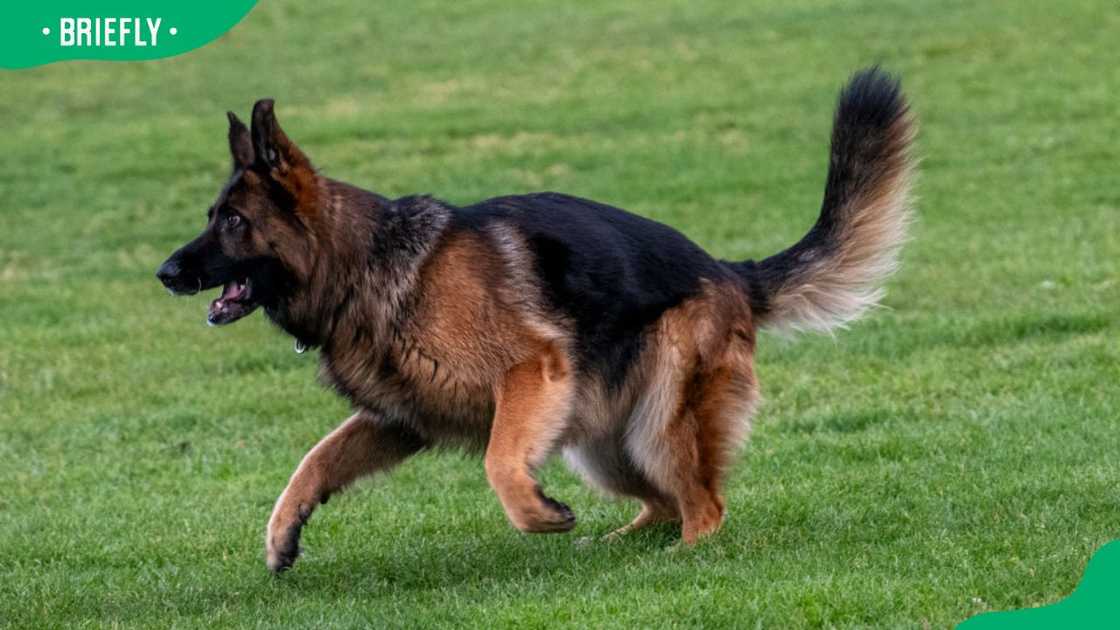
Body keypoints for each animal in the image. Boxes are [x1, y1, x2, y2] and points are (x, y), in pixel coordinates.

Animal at [155, 67, 909, 569]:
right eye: (212, 216)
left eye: (232, 222)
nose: (164, 272)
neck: (363, 261)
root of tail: (729, 270)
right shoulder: (400, 417)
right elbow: (314, 460)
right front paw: (282, 533)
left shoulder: (528, 371)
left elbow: (498, 460)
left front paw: (536, 514)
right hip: (604, 443)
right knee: (664, 503)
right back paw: (622, 545)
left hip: (657, 422)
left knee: (704, 506)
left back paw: (684, 557)